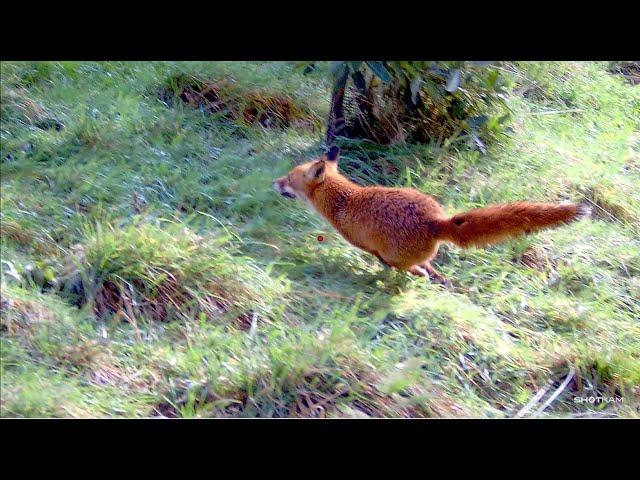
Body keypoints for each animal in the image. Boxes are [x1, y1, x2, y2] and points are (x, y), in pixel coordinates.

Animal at [272, 146, 592, 284]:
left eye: (289, 178)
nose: (274, 182)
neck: (344, 201)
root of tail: (436, 222)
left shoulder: (367, 246)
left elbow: (384, 263)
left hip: (397, 257)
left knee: (415, 270)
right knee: (431, 270)